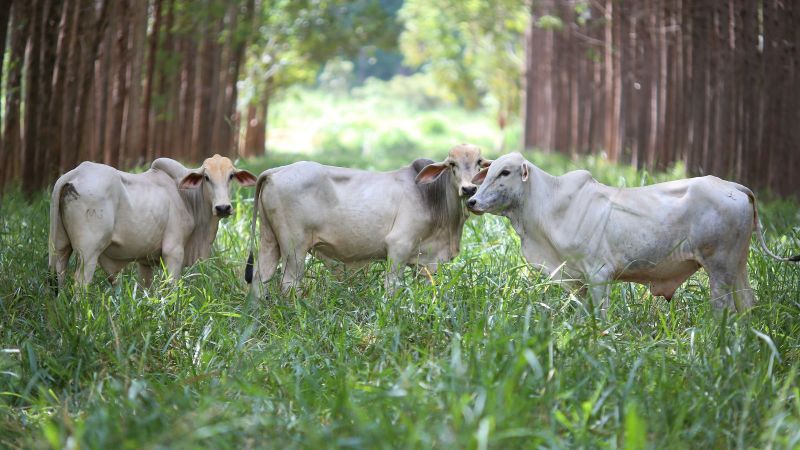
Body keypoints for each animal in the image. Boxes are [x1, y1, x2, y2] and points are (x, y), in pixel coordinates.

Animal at [49, 154, 256, 288]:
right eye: (206, 177)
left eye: (231, 176)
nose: (223, 208)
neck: (187, 198)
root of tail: (74, 174)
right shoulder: (174, 251)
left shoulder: (145, 261)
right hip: (89, 251)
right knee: (80, 283)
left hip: (60, 246)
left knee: (58, 277)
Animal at [247, 142, 490, 294]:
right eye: (452, 164)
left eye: (479, 163)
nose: (469, 189)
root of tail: (276, 171)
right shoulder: (399, 245)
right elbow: (392, 287)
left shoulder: (424, 262)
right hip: (294, 248)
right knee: (289, 284)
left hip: (269, 239)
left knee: (260, 279)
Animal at [466, 153, 796, 314]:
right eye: (488, 171)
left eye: (505, 172)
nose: (471, 200)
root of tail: (732, 186)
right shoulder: (576, 280)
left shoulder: (598, 274)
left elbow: (600, 316)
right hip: (738, 265)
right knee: (748, 304)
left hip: (719, 267)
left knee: (724, 309)